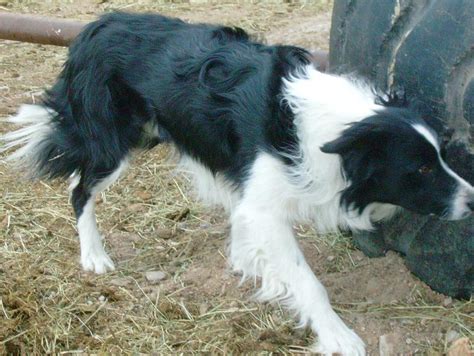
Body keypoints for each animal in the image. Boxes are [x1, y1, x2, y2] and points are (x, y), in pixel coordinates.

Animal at [1, 12, 472, 354]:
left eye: (442, 157)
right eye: (420, 169)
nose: (472, 201)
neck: (331, 130)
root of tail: (94, 27)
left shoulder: (255, 194)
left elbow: (251, 233)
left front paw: (251, 264)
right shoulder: (265, 204)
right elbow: (308, 281)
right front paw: (337, 335)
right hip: (113, 142)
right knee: (79, 189)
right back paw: (94, 256)